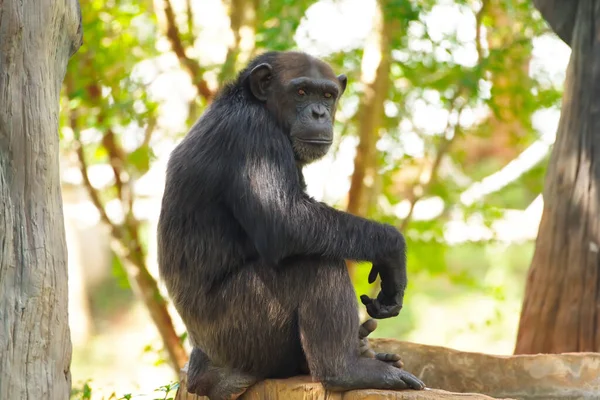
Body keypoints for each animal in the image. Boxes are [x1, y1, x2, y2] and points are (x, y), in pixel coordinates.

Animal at [157, 51, 424, 398]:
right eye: (301, 92)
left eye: (328, 95)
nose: (319, 112)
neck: (259, 107)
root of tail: (207, 376)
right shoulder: (252, 137)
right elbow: (285, 220)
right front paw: (392, 249)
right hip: (243, 331)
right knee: (314, 263)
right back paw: (348, 370)